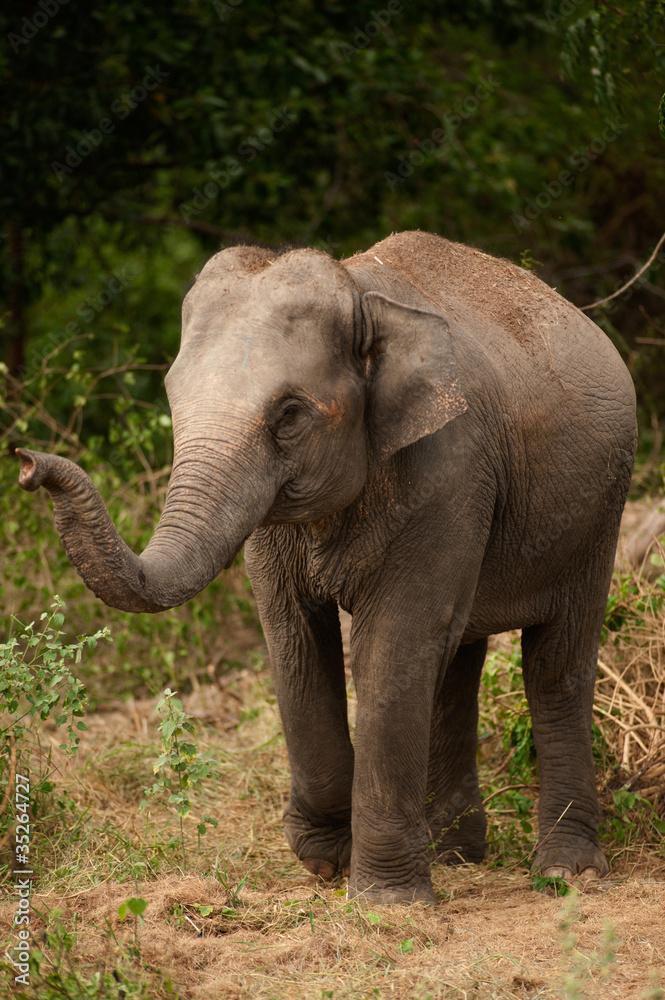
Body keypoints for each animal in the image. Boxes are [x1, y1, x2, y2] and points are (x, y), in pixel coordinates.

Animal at [17, 230, 636, 904]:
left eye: (289, 414)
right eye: (173, 399)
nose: (26, 463)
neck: (361, 294)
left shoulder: (450, 467)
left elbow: (391, 645)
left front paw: (386, 900)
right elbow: (295, 641)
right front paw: (324, 861)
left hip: (599, 509)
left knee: (556, 661)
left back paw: (565, 872)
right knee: (457, 658)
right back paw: (456, 856)